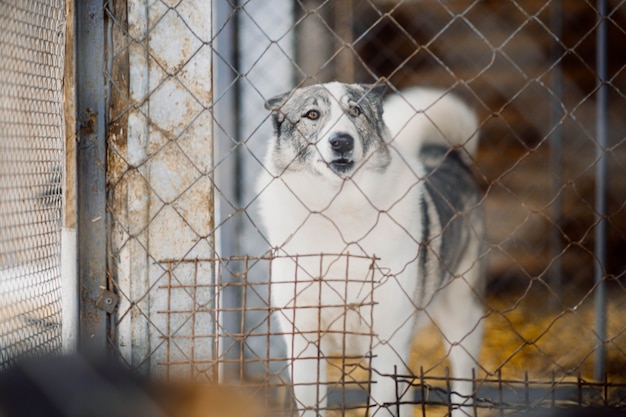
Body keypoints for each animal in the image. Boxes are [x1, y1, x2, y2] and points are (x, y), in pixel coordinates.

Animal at [256, 82, 486, 416]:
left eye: (355, 111)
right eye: (312, 114)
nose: (342, 141)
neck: (338, 213)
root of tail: (448, 155)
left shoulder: (387, 344)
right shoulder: (304, 344)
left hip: (461, 314)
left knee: (462, 381)